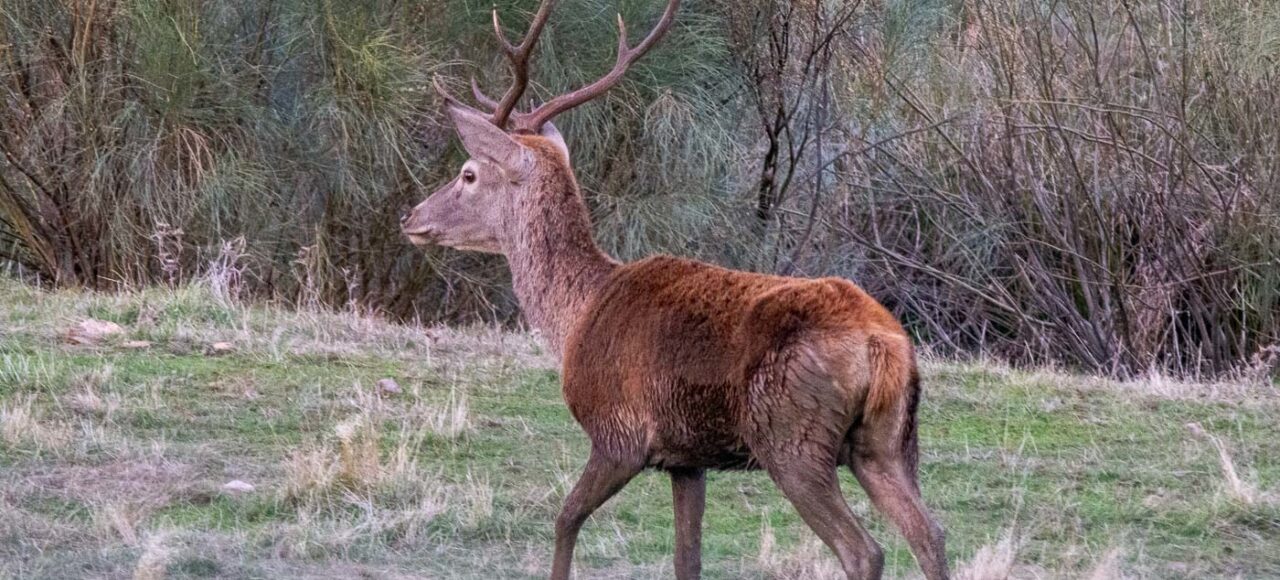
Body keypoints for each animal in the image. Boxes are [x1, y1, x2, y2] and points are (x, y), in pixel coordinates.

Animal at [400, 1, 948, 578]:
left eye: (468, 174)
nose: (410, 217)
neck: (575, 316)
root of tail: (883, 345)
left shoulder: (620, 433)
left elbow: (565, 519)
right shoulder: (687, 459)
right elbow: (688, 557)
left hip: (792, 437)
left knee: (864, 549)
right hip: (890, 443)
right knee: (930, 533)